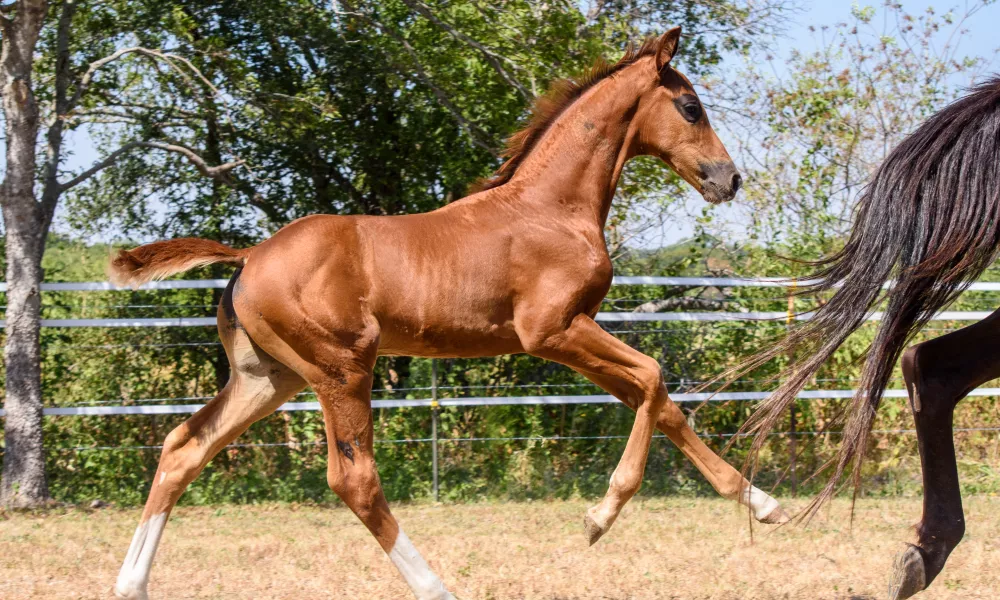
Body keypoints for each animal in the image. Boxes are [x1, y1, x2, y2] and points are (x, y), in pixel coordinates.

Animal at [111, 29, 788, 600]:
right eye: (690, 107)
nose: (729, 179)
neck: (550, 208)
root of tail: (250, 256)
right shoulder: (552, 331)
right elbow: (652, 377)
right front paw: (600, 517)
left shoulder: (572, 336)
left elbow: (661, 401)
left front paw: (763, 503)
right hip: (341, 369)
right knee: (354, 480)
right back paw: (437, 587)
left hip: (268, 377)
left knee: (183, 447)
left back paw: (131, 584)